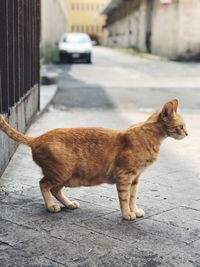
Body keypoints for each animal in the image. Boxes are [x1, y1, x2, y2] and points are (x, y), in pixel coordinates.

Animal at [0, 99, 188, 221]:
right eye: (181, 127)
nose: (187, 134)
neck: (151, 137)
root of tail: (36, 138)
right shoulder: (125, 175)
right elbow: (124, 198)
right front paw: (127, 214)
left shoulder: (135, 178)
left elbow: (133, 197)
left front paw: (134, 210)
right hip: (61, 173)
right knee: (43, 184)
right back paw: (51, 206)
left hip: (67, 177)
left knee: (55, 189)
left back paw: (69, 204)